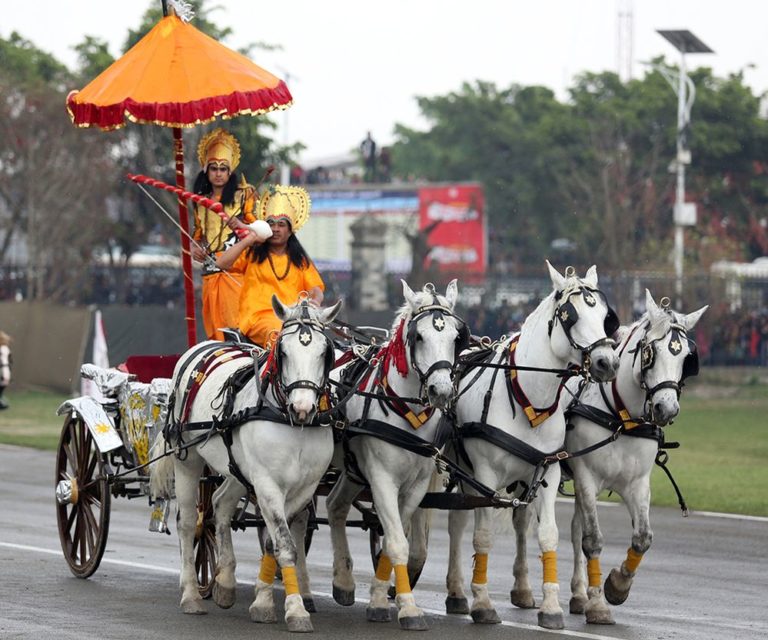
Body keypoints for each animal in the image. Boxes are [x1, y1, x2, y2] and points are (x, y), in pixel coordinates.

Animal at [148, 298, 340, 632]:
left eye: (324, 352)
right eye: (283, 351)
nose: (302, 407)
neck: (290, 421)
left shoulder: (304, 488)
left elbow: (274, 543)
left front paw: (264, 600)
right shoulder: (266, 485)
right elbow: (286, 545)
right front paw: (293, 609)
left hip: (236, 470)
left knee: (220, 504)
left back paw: (225, 582)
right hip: (189, 460)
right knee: (188, 523)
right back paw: (191, 595)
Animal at [326, 280, 464, 632]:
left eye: (455, 337)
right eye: (419, 337)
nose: (441, 391)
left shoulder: (415, 485)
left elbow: (394, 538)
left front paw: (382, 599)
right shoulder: (382, 479)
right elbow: (397, 541)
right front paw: (408, 609)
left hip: (351, 470)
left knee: (335, 506)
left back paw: (343, 581)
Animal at [436, 262, 620, 632]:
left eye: (605, 316)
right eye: (570, 316)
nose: (607, 363)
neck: (527, 397)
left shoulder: (547, 471)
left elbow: (548, 534)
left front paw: (550, 608)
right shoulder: (485, 476)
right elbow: (483, 537)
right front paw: (483, 604)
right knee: (446, 521)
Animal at [560, 292, 708, 624]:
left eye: (686, 358)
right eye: (651, 352)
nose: (667, 408)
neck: (621, 417)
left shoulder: (637, 484)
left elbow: (642, 537)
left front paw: (617, 586)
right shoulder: (586, 477)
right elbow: (593, 540)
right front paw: (598, 606)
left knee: (574, 530)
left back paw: (578, 594)